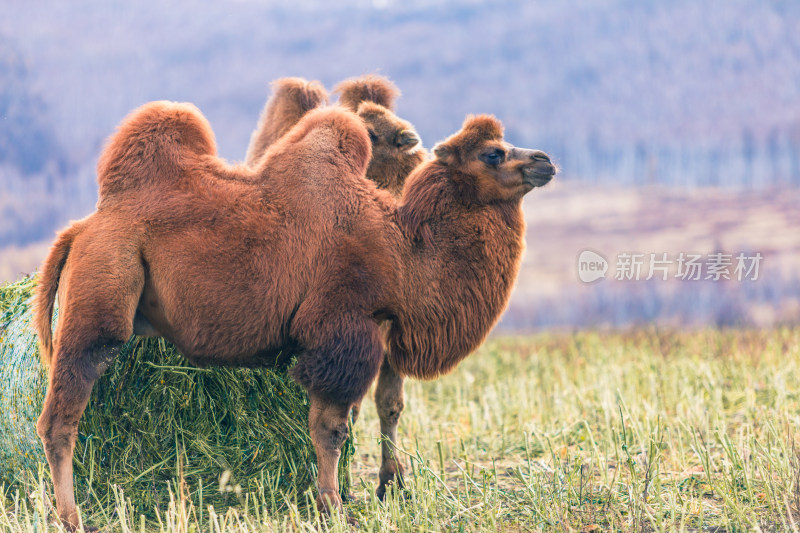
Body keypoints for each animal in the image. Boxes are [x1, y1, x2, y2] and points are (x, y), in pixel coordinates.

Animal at [32, 100, 556, 528]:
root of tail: (83, 228)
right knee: (61, 417)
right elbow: (331, 428)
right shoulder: (340, 328)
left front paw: (369, 493)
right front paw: (333, 506)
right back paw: (71, 519)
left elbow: (370, 411)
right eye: (492, 153)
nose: (544, 161)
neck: (403, 246)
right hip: (100, 297)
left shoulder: (371, 329)